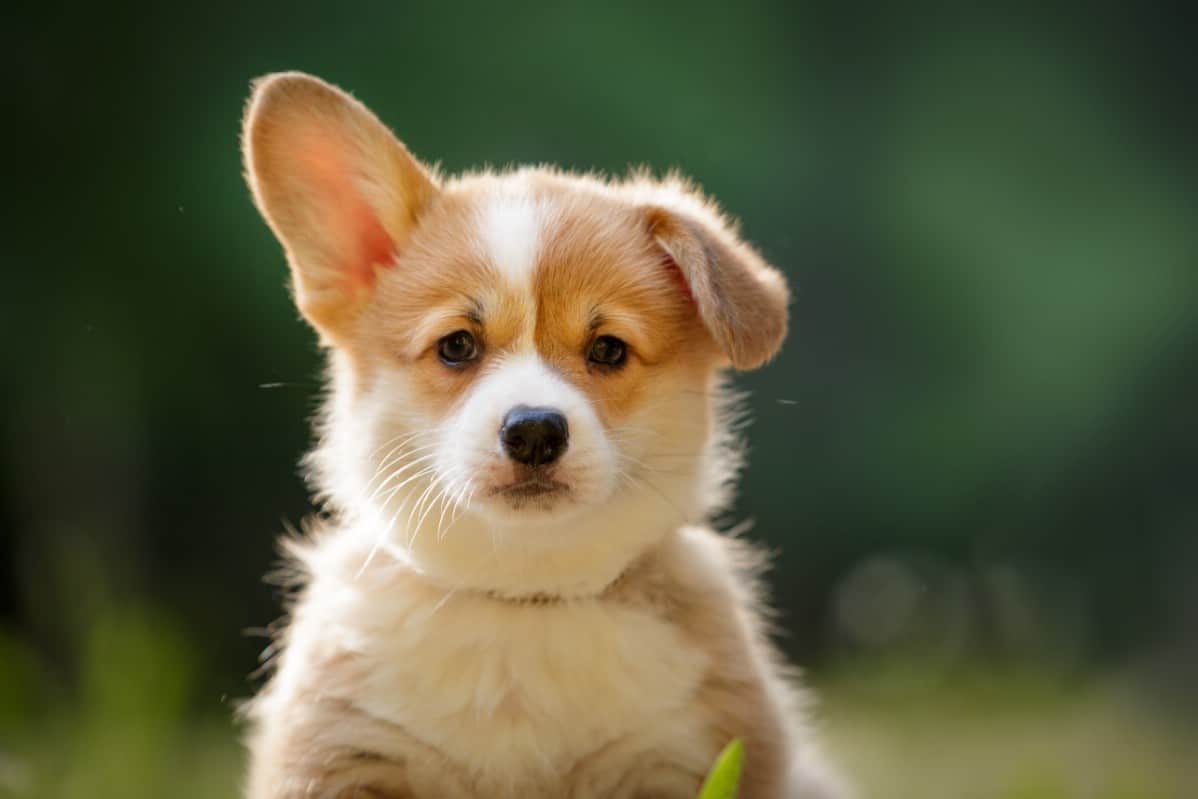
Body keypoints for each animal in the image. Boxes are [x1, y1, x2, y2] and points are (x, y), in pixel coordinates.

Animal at [238, 71, 848, 795]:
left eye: (608, 350)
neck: (524, 601)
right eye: (457, 346)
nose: (533, 432)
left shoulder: (677, 759)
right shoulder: (339, 758)